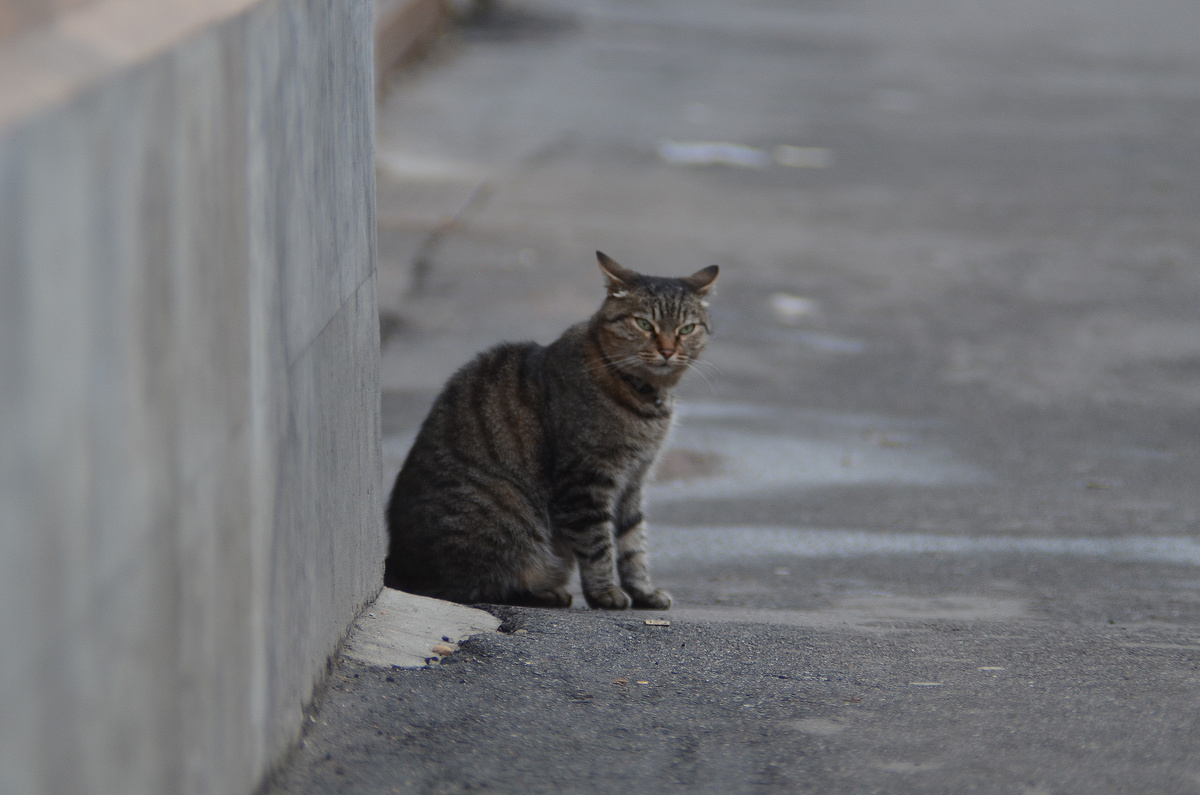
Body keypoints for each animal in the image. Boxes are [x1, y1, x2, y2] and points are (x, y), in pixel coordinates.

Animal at [388, 253, 715, 610]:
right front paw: (605, 593)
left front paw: (643, 591)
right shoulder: (585, 481)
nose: (668, 350)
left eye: (686, 328)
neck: (646, 397)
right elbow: (598, 544)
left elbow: (633, 543)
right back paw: (545, 592)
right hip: (505, 514)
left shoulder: (633, 482)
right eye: (644, 324)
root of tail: (395, 566)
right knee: (480, 585)